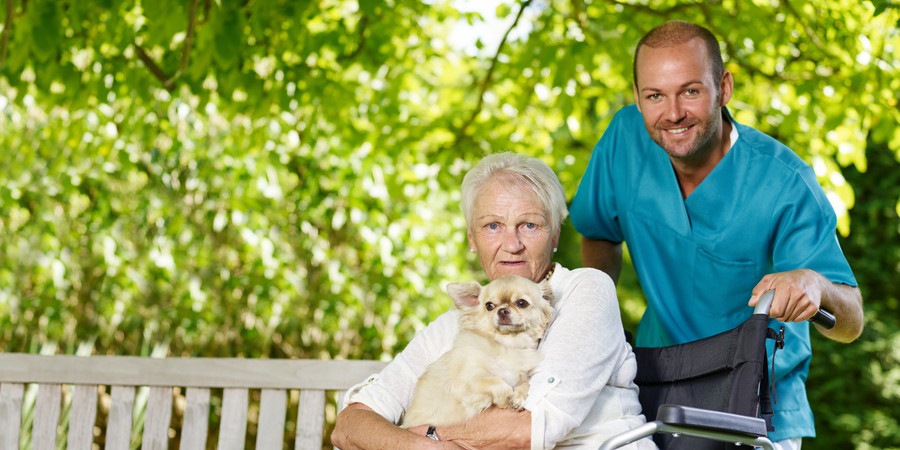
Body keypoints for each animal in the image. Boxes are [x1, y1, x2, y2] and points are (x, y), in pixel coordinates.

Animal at [402, 272, 556, 428]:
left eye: (522, 303)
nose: (502, 310)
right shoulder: (465, 382)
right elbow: (494, 381)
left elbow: (526, 384)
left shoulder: (521, 377)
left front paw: (518, 397)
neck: (508, 344)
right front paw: (505, 398)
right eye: (489, 306)